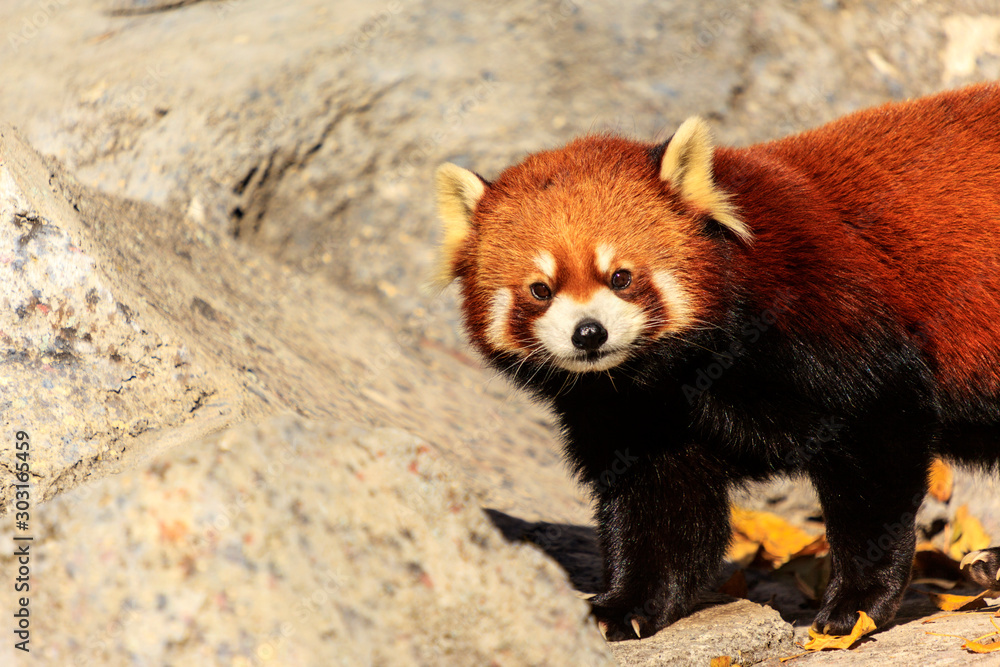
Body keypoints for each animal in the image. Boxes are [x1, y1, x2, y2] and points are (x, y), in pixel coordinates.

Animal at [434, 83, 1000, 640]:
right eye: (540, 290)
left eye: (620, 277)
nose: (589, 333)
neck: (680, 374)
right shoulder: (638, 416)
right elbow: (662, 510)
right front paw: (624, 604)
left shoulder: (831, 325)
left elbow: (877, 457)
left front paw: (857, 604)